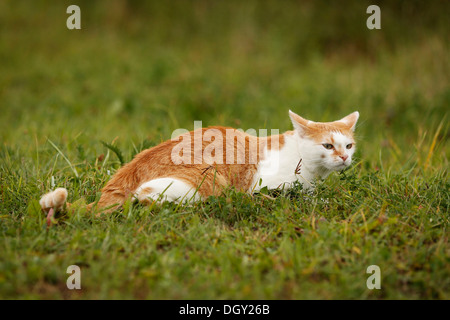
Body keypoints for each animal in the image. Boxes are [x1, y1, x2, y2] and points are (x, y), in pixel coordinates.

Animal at [40, 109, 360, 215]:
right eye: (328, 145)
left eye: (348, 145)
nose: (344, 157)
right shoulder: (269, 185)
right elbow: (306, 198)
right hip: (201, 182)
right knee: (145, 198)